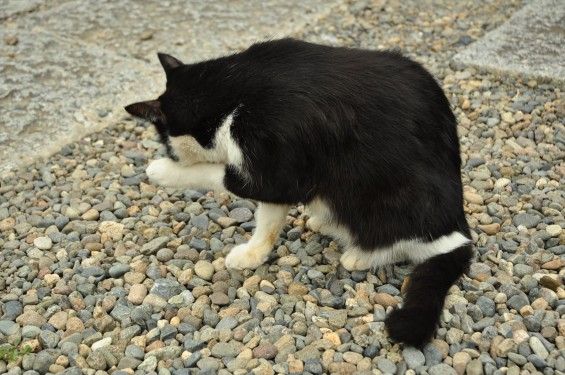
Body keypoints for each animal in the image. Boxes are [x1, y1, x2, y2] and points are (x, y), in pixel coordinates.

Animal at [125, 39, 474, 350]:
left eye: (164, 138)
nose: (168, 153)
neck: (231, 91)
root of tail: (457, 231)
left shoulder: (275, 164)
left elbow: (218, 173)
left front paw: (162, 170)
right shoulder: (283, 176)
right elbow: (269, 218)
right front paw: (254, 254)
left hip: (388, 196)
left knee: (393, 238)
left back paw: (360, 255)